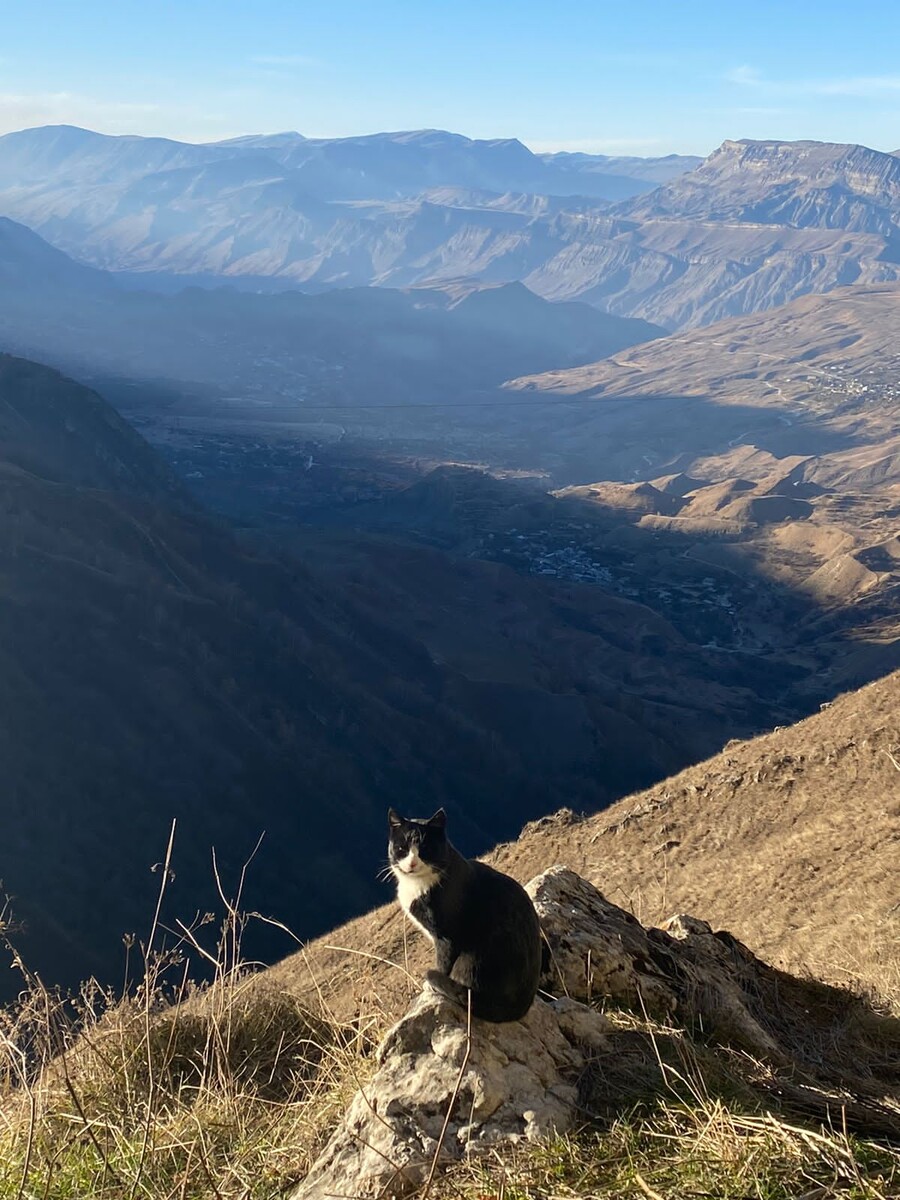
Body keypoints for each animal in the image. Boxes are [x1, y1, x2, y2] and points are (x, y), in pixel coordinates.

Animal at [388, 806, 542, 1022]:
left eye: (425, 849)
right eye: (402, 848)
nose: (412, 864)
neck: (417, 886)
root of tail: (518, 1008)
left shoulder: (446, 936)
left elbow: (443, 961)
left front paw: (428, 988)